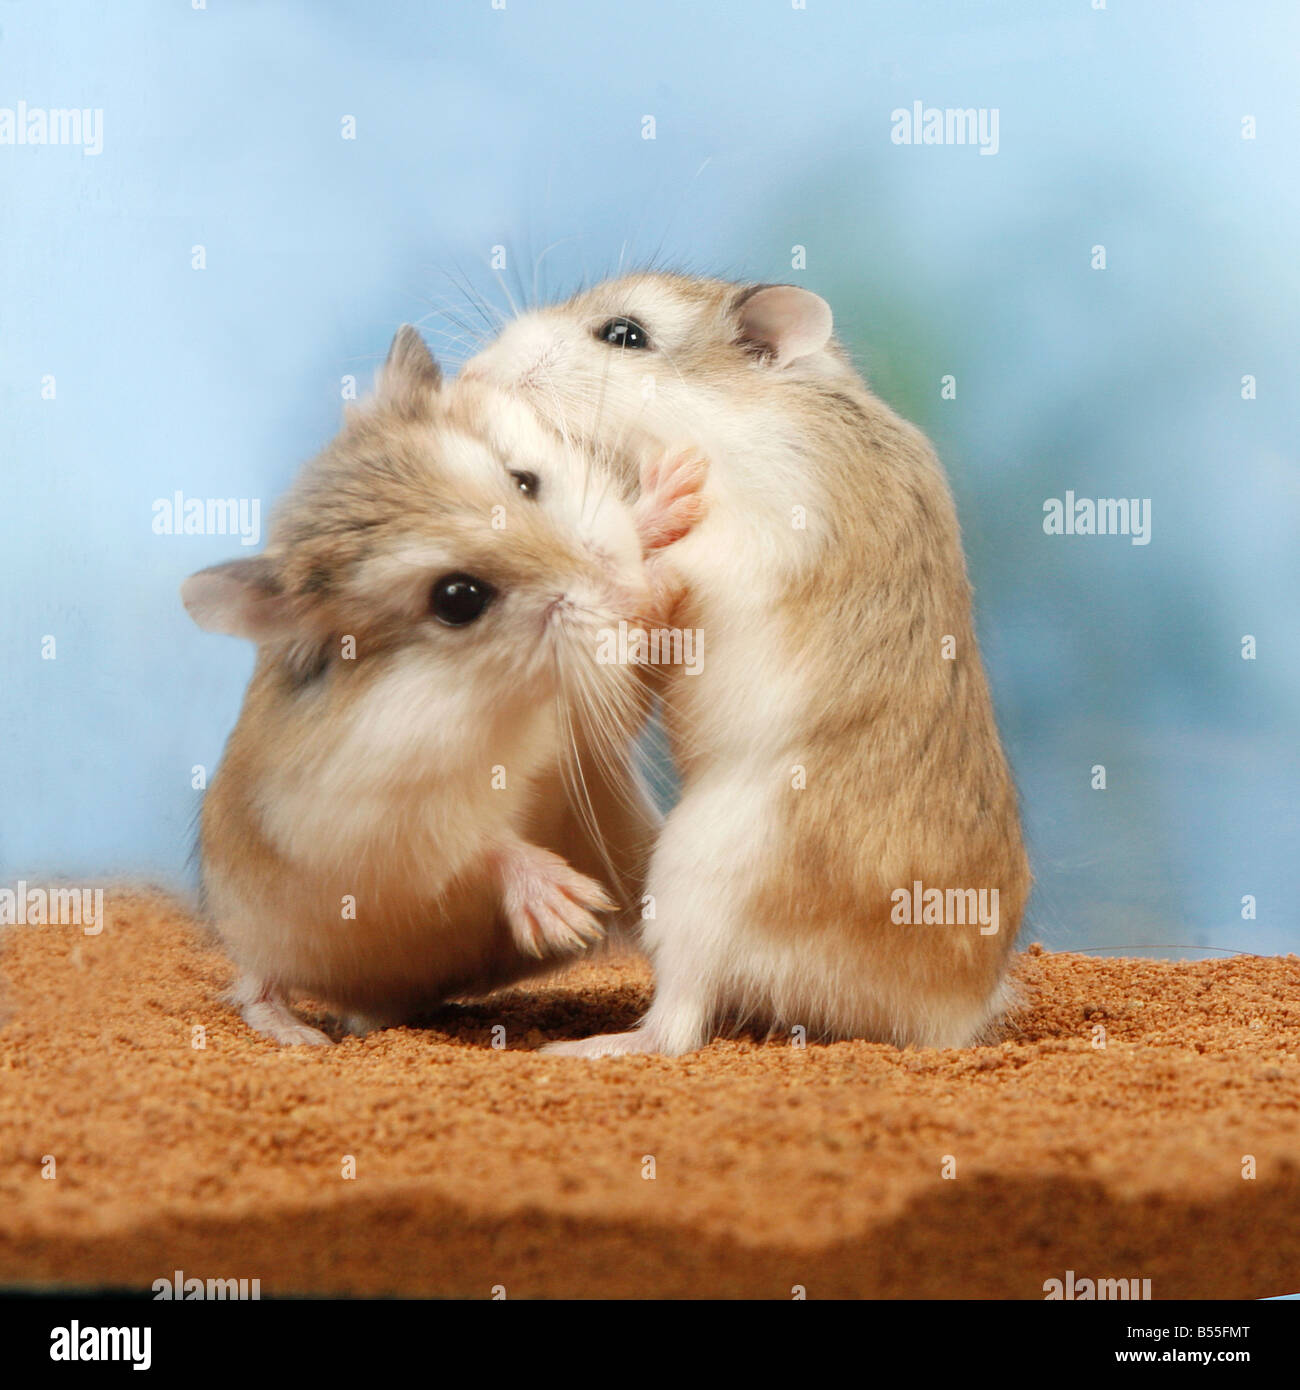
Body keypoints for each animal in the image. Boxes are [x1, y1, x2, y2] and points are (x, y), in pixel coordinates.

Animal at [183, 325, 706, 1045]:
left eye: (525, 480)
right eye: (458, 599)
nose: (619, 591)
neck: (503, 690)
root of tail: (385, 1002)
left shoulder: (595, 717)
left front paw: (676, 497)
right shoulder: (373, 820)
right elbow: (481, 846)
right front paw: (569, 912)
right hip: (254, 931)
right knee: (254, 984)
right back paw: (300, 1034)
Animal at [461, 271, 1034, 1050]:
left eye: (624, 335)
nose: (473, 370)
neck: (735, 414)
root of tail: (945, 1014)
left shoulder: (757, 537)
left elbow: (657, 556)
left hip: (692, 878)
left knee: (677, 1024)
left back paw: (589, 1048)